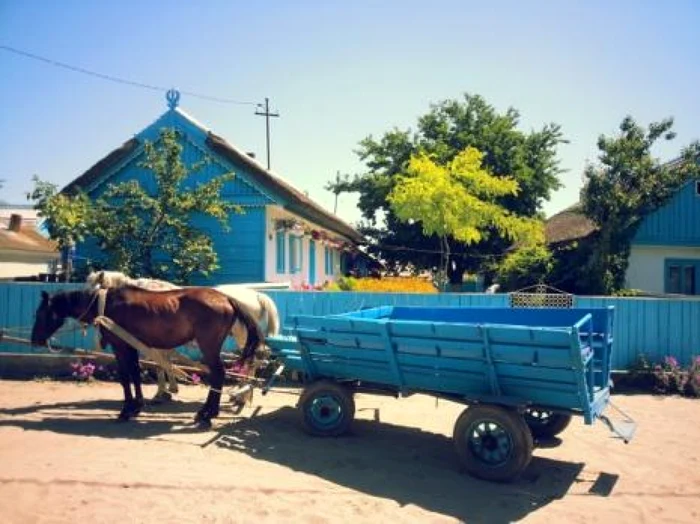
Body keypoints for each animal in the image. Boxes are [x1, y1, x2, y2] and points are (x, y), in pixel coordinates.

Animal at [29, 284, 266, 428]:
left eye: (41, 313)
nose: (35, 340)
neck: (106, 304)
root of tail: (226, 298)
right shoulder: (131, 346)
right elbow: (135, 374)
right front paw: (137, 406)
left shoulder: (120, 345)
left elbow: (125, 377)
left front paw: (126, 410)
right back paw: (207, 412)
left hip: (208, 346)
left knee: (218, 373)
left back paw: (208, 414)